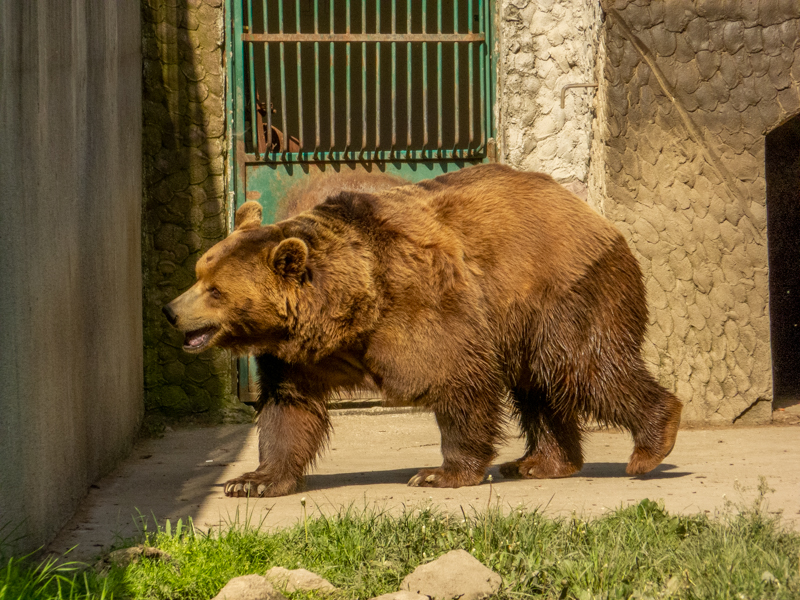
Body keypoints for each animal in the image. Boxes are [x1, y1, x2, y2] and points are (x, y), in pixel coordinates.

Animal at [163, 164, 683, 497]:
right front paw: (252, 481)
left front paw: (440, 473)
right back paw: (540, 462)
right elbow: (288, 409)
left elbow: (458, 376)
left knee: (584, 368)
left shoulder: (419, 301)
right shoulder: (301, 355)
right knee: (540, 385)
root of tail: (592, 214)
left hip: (560, 291)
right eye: (199, 272)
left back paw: (650, 445)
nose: (170, 311)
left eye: (215, 290)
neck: (346, 311)